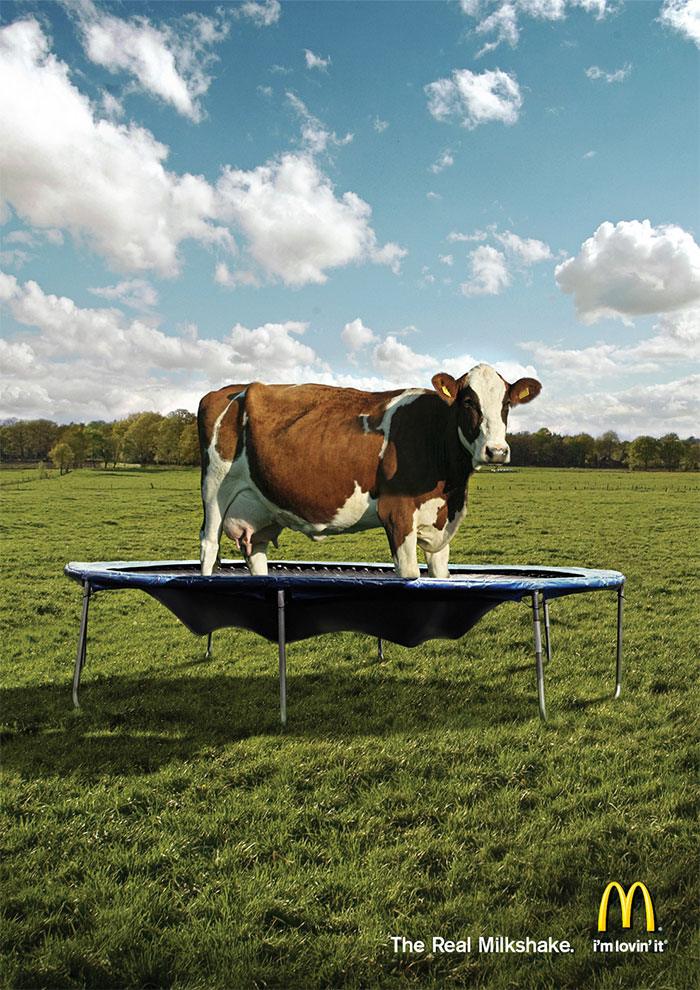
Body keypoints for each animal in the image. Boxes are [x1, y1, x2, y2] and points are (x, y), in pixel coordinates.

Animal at [197, 363, 541, 579]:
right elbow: (409, 574)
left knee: (256, 552)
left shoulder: (440, 520)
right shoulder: (397, 512)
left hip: (259, 507)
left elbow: (440, 573)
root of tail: (227, 391)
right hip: (214, 489)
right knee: (209, 545)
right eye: (468, 402)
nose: (496, 451)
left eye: (506, 404)